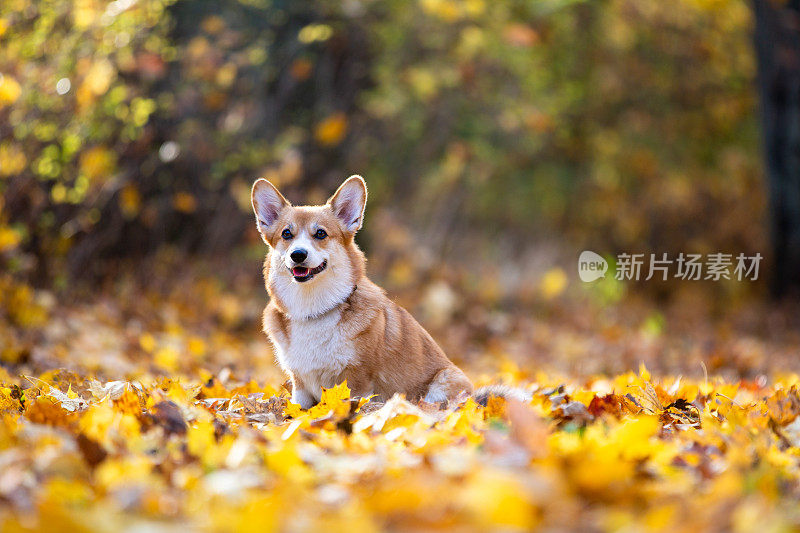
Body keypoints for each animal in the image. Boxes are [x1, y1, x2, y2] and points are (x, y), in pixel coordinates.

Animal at [250, 176, 476, 408]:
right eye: (286, 234)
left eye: (321, 233)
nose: (297, 254)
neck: (312, 310)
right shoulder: (300, 386)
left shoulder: (357, 382)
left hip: (445, 381)